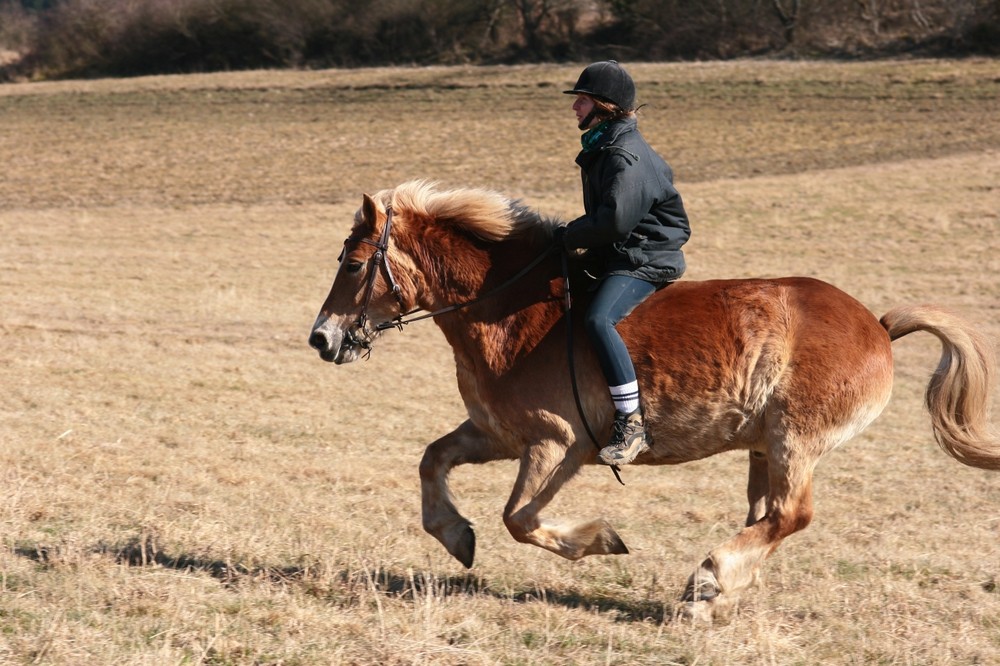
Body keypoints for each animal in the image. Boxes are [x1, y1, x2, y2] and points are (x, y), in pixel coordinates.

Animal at [308, 180, 996, 616]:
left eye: (353, 264)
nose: (322, 339)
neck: (507, 311)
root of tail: (876, 326)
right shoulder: (499, 434)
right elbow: (433, 460)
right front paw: (455, 535)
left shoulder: (555, 445)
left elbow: (520, 519)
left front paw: (598, 540)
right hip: (763, 448)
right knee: (766, 515)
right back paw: (718, 590)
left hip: (793, 440)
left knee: (790, 515)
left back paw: (709, 579)